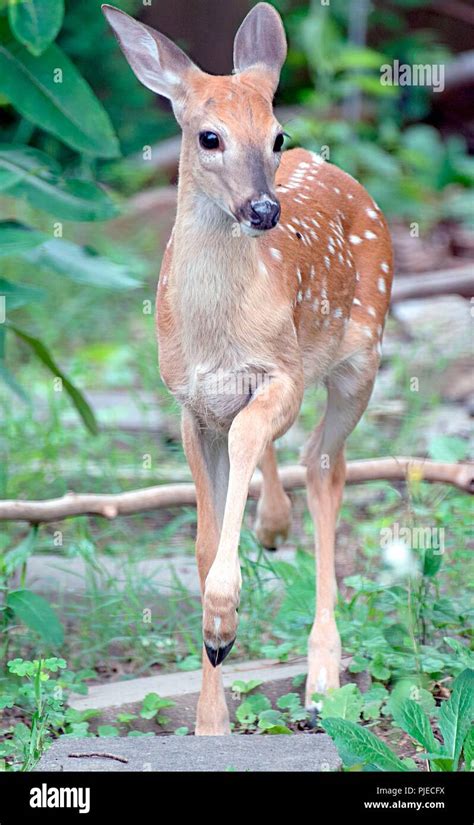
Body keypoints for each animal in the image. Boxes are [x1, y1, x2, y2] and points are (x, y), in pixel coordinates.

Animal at [103, 0, 392, 732]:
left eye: (277, 133)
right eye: (208, 136)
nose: (264, 209)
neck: (216, 335)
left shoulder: (282, 374)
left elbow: (252, 440)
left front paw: (223, 624)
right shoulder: (188, 403)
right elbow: (204, 544)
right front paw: (211, 718)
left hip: (361, 355)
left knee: (325, 464)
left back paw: (322, 678)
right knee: (293, 457)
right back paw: (272, 524)